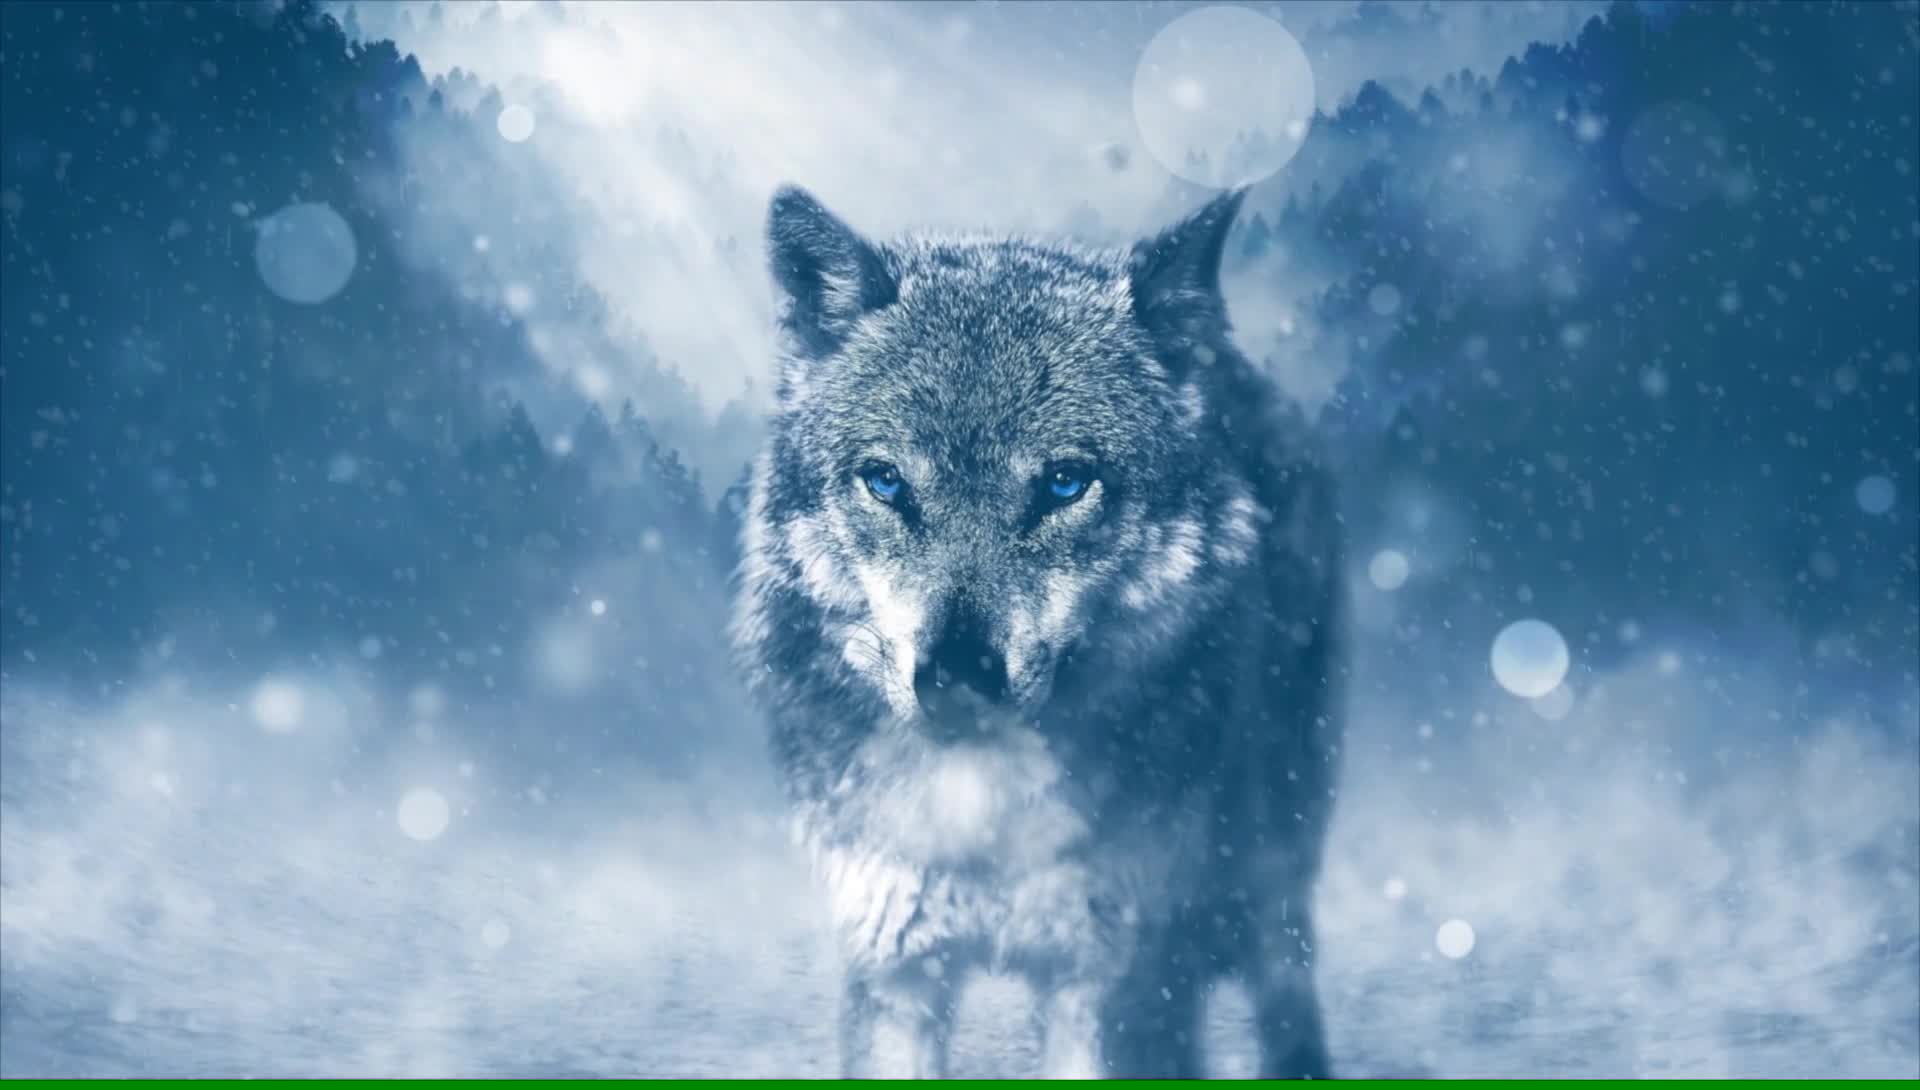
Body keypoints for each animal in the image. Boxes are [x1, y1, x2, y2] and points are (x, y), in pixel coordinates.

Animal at [728, 183, 1344, 1079]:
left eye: (1063, 483)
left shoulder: (1107, 980)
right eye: (887, 481)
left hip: (1268, 866)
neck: (982, 813)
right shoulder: (895, 968)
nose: (956, 678)